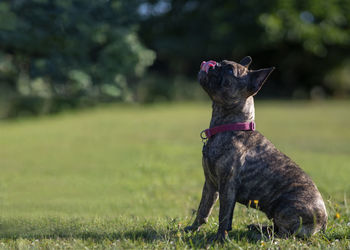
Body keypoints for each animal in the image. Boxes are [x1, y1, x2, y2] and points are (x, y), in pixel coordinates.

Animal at [186, 57, 328, 242]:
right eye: (222, 62)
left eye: (230, 70)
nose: (215, 64)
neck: (231, 126)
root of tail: (324, 223)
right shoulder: (211, 185)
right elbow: (203, 209)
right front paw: (192, 229)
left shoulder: (227, 185)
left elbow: (224, 215)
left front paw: (219, 239)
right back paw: (257, 228)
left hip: (284, 208)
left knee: (285, 233)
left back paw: (262, 234)